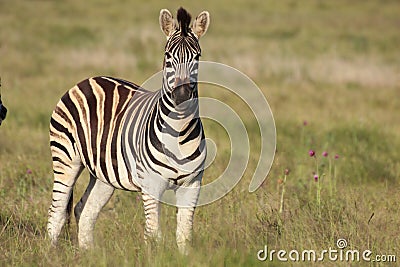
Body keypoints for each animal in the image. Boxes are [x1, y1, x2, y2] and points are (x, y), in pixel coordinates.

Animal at [47, 7, 209, 254]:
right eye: (168, 56)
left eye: (197, 57)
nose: (181, 96)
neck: (179, 133)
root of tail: (88, 79)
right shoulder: (151, 184)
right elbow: (153, 234)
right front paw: (154, 257)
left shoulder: (192, 184)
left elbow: (184, 235)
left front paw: (185, 257)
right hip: (66, 158)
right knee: (56, 212)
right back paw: (51, 255)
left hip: (103, 175)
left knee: (84, 210)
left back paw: (88, 255)